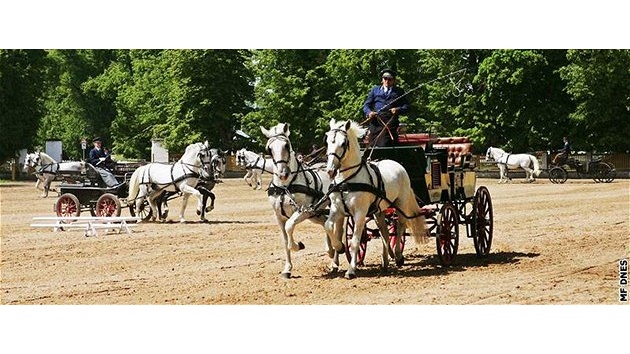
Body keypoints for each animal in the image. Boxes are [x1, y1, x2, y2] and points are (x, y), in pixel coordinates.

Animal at [262, 123, 340, 278]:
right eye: (269, 148)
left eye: (286, 145)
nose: (283, 174)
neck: (285, 187)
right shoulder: (279, 216)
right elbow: (285, 240)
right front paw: (287, 269)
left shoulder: (302, 211)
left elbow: (289, 227)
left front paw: (298, 245)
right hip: (314, 213)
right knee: (325, 223)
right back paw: (330, 250)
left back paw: (335, 260)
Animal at [326, 119, 430, 280]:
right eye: (327, 141)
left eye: (343, 143)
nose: (330, 170)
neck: (348, 179)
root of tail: (397, 164)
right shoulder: (337, 210)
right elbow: (329, 227)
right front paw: (339, 249)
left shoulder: (360, 213)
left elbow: (355, 241)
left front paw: (351, 270)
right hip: (379, 211)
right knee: (384, 232)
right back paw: (386, 261)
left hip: (401, 204)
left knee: (400, 227)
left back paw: (398, 256)